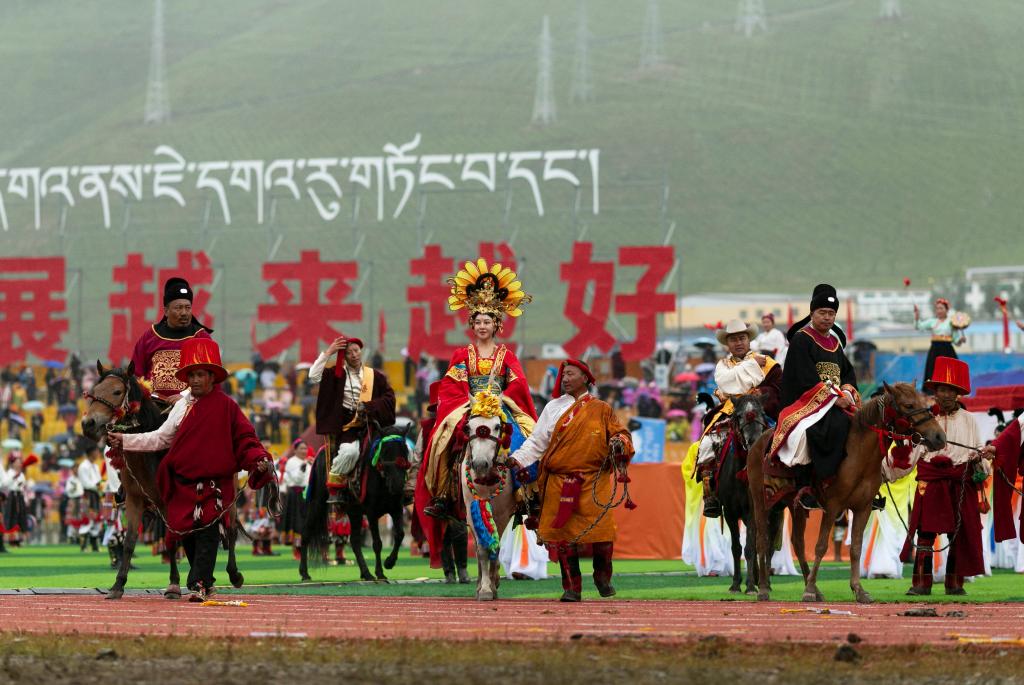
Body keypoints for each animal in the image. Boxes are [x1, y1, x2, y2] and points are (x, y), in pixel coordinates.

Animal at [82, 362, 270, 597]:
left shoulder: (168, 501)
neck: (147, 454)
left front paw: (174, 584)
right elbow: (130, 541)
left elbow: (172, 540)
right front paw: (118, 585)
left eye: (117, 392)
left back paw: (232, 575)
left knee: (230, 530)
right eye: (94, 391)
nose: (88, 423)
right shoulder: (135, 499)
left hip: (228, 493)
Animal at [299, 421, 409, 581]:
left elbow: (400, 534)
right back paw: (304, 573)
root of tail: (319, 453)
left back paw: (366, 573)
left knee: (355, 541)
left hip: (354, 511)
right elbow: (377, 543)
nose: (397, 484)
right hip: (317, 502)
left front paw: (389, 562)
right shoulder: (371, 512)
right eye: (385, 451)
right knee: (306, 532)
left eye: (405, 450)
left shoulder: (396, 509)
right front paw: (380, 572)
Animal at [745, 382, 942, 602]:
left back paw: (814, 589)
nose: (939, 437)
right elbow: (821, 546)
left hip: (795, 505)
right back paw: (763, 589)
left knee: (798, 542)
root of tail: (758, 442)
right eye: (908, 405)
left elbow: (856, 547)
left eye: (923, 401)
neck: (859, 455)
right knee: (762, 540)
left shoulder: (863, 508)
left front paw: (858, 589)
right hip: (761, 501)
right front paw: (809, 590)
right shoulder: (833, 506)